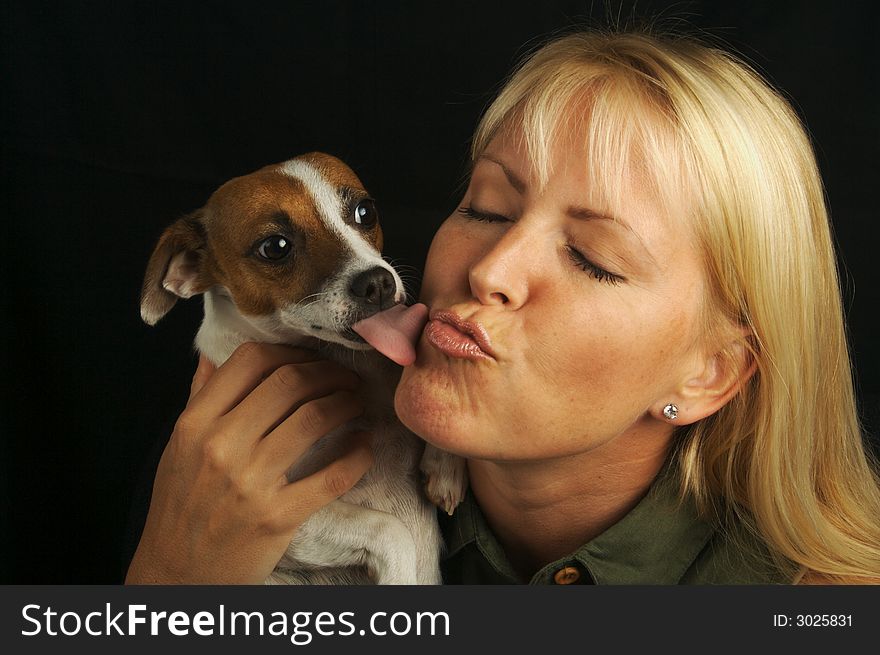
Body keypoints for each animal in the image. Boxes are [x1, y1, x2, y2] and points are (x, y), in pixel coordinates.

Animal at [139, 154, 468, 584]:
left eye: (365, 211)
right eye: (275, 247)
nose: (378, 282)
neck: (349, 367)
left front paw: (445, 464)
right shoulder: (276, 518)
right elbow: (390, 529)